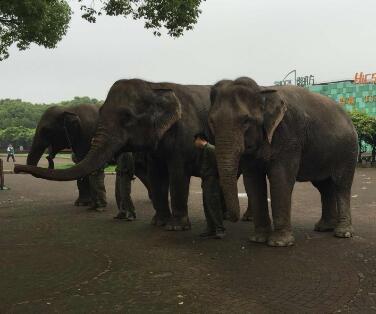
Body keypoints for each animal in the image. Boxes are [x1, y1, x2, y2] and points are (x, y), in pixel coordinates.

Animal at [14, 79, 213, 231]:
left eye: (46, 130)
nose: (16, 167)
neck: (154, 85)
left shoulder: (184, 135)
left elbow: (178, 172)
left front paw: (175, 227)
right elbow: (156, 173)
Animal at [209, 77, 358, 247]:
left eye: (246, 120)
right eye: (211, 122)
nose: (229, 218)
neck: (263, 90)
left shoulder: (289, 134)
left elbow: (281, 177)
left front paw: (279, 243)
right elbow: (252, 180)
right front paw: (258, 239)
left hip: (348, 150)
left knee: (341, 184)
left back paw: (343, 233)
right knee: (324, 187)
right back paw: (323, 228)